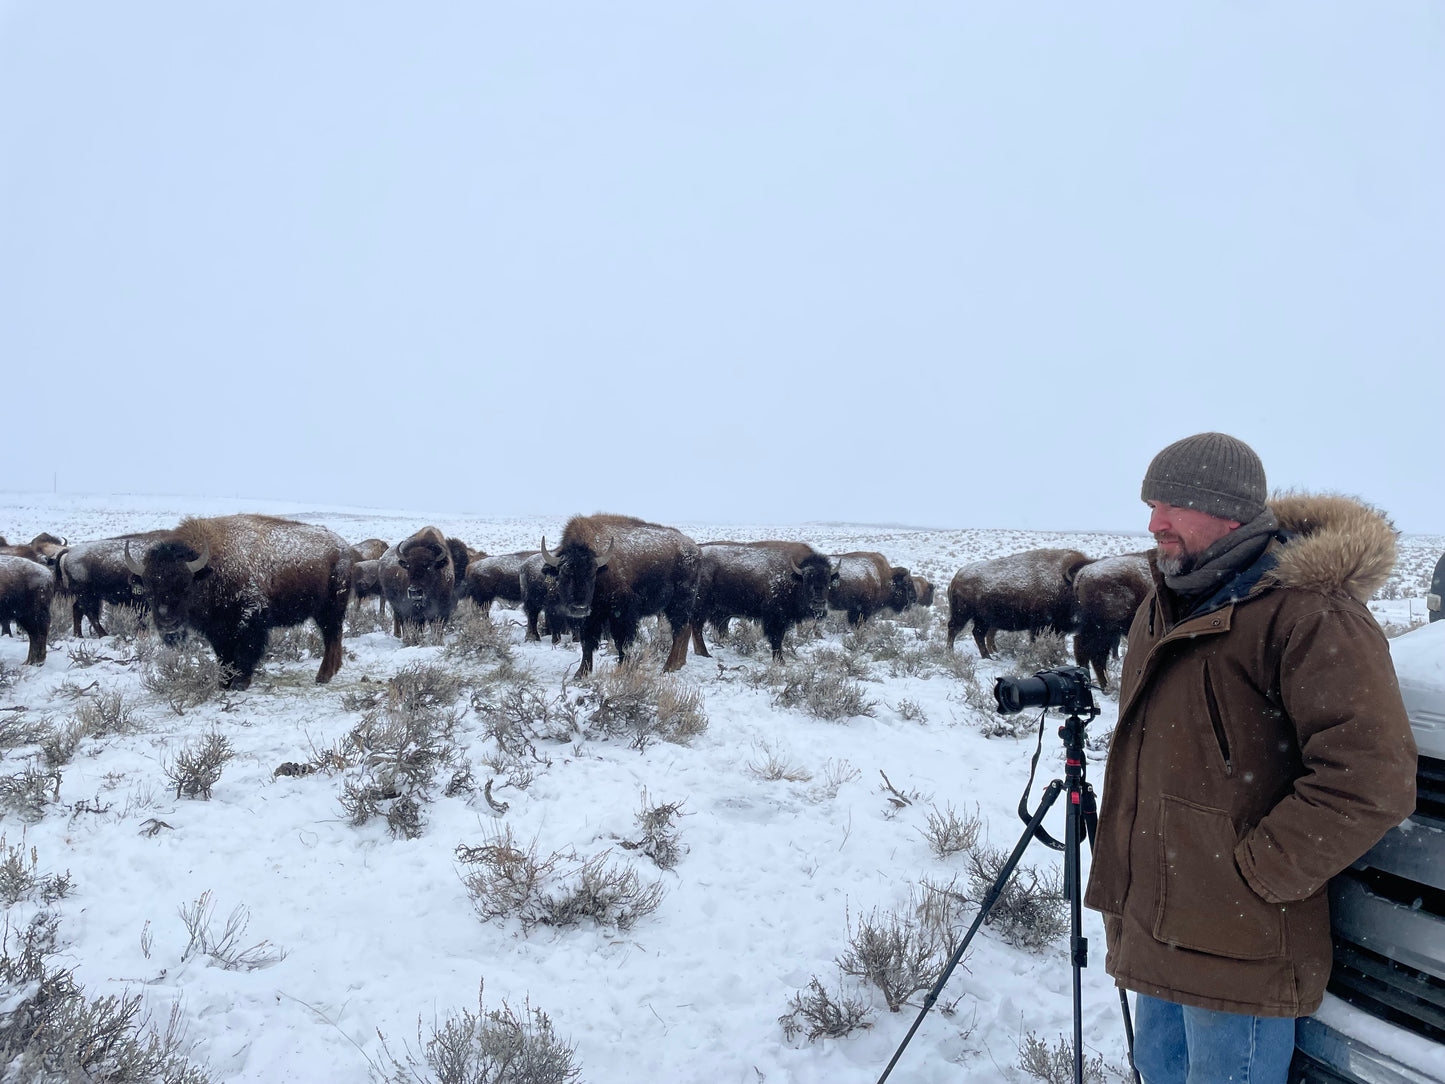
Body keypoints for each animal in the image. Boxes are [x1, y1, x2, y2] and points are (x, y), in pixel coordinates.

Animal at [122, 514, 351, 687]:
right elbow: (224, 654)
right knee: (333, 636)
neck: (211, 569)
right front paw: (224, 682)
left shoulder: (250, 619)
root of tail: (344, 547)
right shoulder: (217, 629)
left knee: (331, 636)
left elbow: (246, 650)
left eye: (185, 586)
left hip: (330, 609)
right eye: (148, 589)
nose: (168, 623)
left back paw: (322, 677)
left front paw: (240, 682)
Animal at [543, 514, 699, 676]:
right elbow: (587, 642)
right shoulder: (591, 617)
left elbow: (621, 642)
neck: (602, 570)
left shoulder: (622, 614)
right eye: (563, 574)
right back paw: (679, 664)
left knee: (679, 630)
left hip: (679, 602)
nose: (579, 608)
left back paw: (668, 667)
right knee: (686, 628)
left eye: (592, 575)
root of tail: (695, 548)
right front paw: (581, 673)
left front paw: (622, 668)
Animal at [687, 543, 838, 661]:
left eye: (828, 581)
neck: (795, 576)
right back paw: (705, 653)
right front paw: (780, 661)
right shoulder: (776, 619)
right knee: (697, 628)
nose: (818, 603)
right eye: (807, 581)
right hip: (702, 608)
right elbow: (777, 639)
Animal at [942, 546, 1086, 659]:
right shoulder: (1040, 625)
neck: (1064, 584)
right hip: (962, 614)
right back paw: (951, 653)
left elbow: (1060, 641)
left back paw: (988, 656)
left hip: (982, 619)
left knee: (978, 633)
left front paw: (1064, 655)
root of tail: (956, 577)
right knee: (954, 629)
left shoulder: (1058, 627)